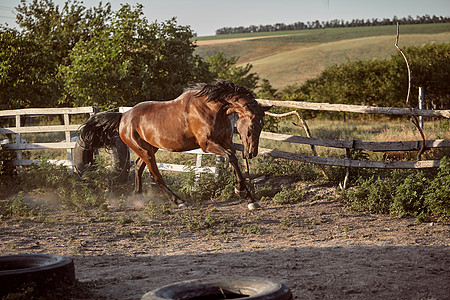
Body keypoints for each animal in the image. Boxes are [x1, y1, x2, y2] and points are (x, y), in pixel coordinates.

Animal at [78, 81, 268, 210]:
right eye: (252, 126)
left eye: (262, 125)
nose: (251, 153)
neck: (212, 108)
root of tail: (123, 117)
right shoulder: (207, 144)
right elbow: (231, 157)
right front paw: (242, 192)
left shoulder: (225, 141)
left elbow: (233, 160)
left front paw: (249, 198)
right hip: (145, 151)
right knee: (155, 176)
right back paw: (179, 201)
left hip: (149, 149)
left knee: (138, 167)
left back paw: (138, 197)